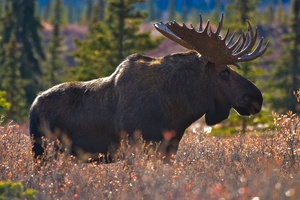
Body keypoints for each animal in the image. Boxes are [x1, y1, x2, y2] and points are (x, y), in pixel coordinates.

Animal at [29, 13, 270, 161]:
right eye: (224, 72)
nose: (256, 98)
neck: (178, 109)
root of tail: (33, 106)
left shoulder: (169, 148)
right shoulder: (136, 146)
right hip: (43, 153)